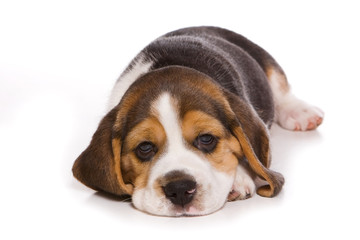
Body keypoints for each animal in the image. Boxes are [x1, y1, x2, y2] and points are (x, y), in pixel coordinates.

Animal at [72, 26, 324, 216]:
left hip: (264, 59)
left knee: (281, 89)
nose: (180, 189)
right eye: (144, 147)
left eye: (206, 139)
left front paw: (237, 179)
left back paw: (300, 113)